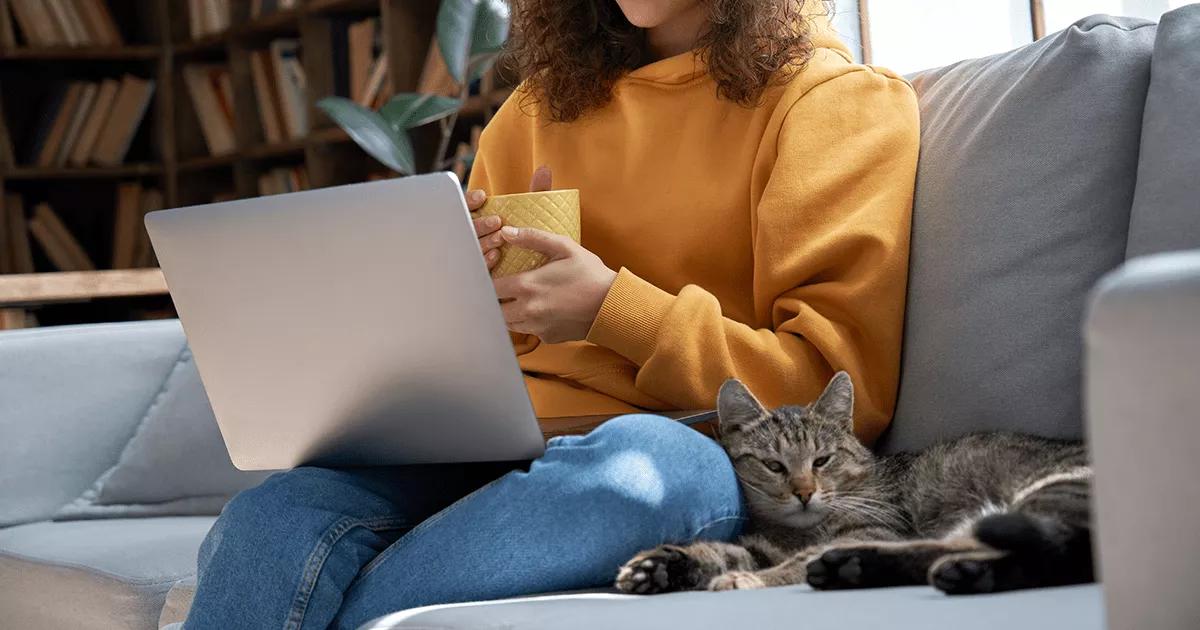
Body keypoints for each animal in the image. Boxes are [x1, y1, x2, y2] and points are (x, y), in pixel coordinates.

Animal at [619, 374, 1099, 595]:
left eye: (822, 460)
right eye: (774, 466)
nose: (804, 492)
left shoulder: (877, 528)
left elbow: (791, 565)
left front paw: (745, 580)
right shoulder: (762, 545)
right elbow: (724, 552)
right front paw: (664, 565)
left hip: (1049, 493)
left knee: (1056, 552)